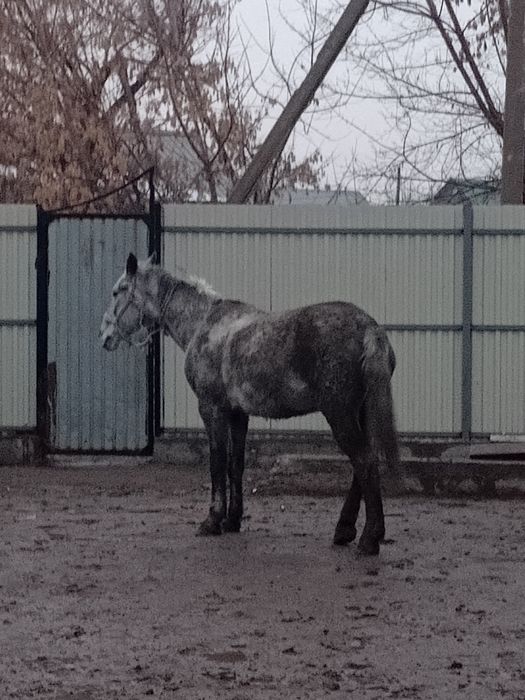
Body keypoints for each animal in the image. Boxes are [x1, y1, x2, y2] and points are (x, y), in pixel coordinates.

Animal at [100, 253, 404, 555]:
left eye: (117, 291)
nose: (104, 335)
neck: (204, 325)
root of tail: (370, 329)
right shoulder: (237, 414)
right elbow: (236, 465)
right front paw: (232, 520)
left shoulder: (211, 409)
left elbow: (217, 463)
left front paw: (212, 520)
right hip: (359, 414)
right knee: (361, 466)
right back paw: (344, 530)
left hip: (340, 414)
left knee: (364, 462)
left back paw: (369, 538)